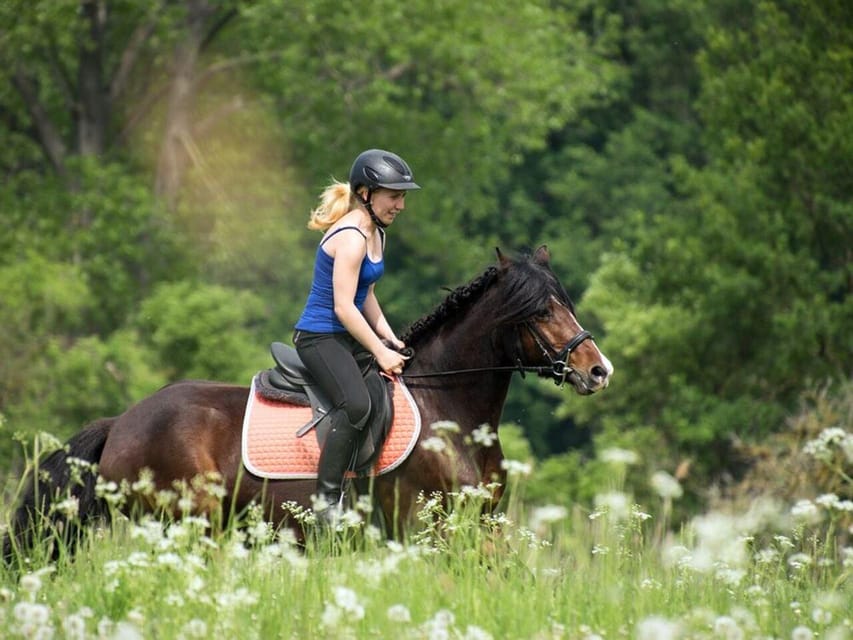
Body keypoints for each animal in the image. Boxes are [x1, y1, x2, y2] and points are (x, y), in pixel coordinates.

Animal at [3, 248, 608, 556]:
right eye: (538, 311)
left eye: (565, 302)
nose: (597, 370)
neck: (451, 414)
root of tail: (123, 421)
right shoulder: (425, 528)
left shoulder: (483, 525)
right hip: (186, 524)